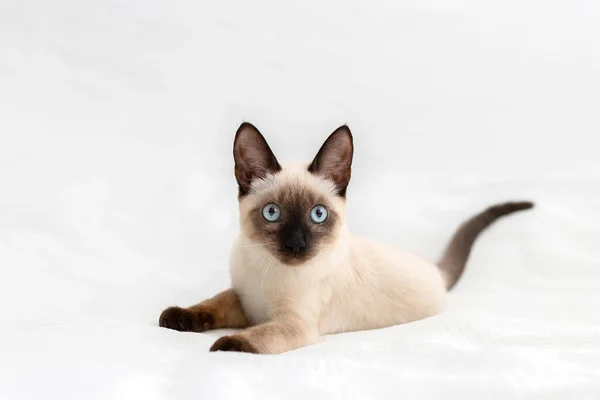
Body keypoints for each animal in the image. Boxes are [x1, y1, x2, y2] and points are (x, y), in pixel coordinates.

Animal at [159, 123, 536, 354]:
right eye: (272, 213)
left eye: (317, 215)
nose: (296, 245)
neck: (266, 271)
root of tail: (433, 268)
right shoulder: (241, 298)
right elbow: (210, 304)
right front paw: (177, 319)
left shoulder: (293, 325)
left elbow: (254, 337)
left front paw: (222, 346)